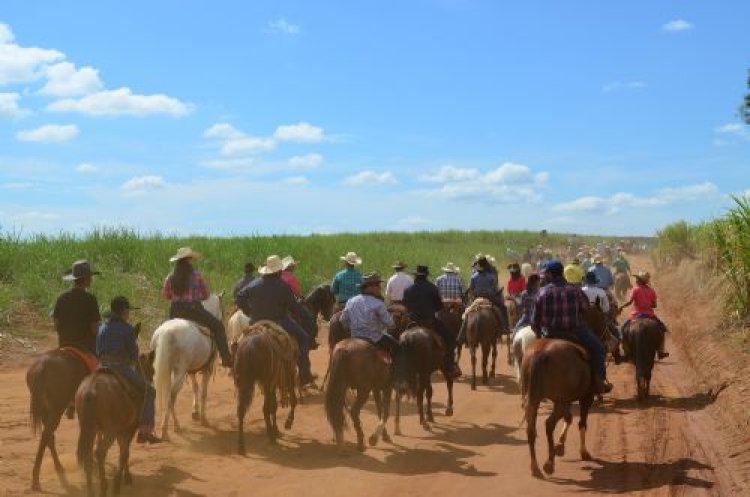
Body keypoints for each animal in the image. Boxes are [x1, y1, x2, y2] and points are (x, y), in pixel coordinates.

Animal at [26, 346, 94, 490]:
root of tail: (41, 366)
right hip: (57, 409)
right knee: (47, 435)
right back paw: (36, 479)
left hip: (46, 409)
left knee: (49, 436)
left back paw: (58, 469)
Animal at [150, 292, 225, 440]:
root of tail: (165, 333)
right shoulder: (207, 369)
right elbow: (204, 392)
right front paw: (203, 419)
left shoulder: (191, 370)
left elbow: (195, 387)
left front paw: (195, 412)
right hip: (179, 372)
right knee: (171, 396)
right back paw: (166, 430)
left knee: (168, 394)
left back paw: (174, 427)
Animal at [235, 320, 300, 452]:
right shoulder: (287, 376)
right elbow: (291, 401)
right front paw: (287, 423)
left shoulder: (272, 383)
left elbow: (273, 405)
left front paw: (276, 429)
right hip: (268, 381)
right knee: (265, 408)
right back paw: (271, 436)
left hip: (243, 381)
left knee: (241, 410)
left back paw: (241, 446)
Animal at [524, 338, 600, 476]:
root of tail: (541, 353)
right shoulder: (586, 398)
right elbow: (582, 423)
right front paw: (583, 452)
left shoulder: (566, 401)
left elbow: (568, 418)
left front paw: (560, 446)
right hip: (561, 402)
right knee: (549, 424)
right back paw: (549, 464)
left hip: (534, 400)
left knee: (531, 430)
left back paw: (535, 467)